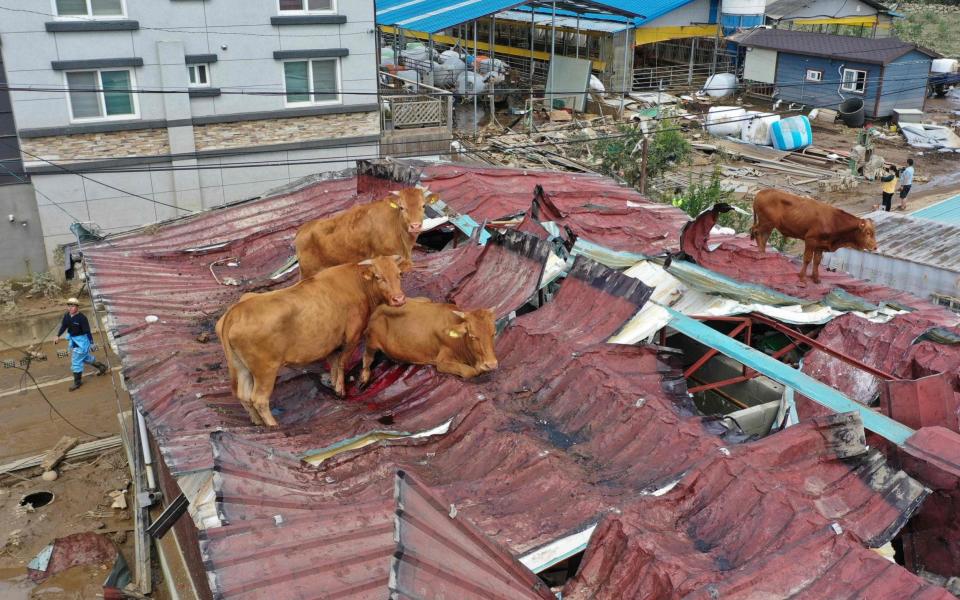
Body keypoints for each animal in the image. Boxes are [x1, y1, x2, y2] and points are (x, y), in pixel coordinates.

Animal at [216, 254, 406, 426]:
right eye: (379, 277)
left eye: (398, 274)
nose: (399, 299)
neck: (358, 284)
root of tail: (236, 310)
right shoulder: (352, 337)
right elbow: (343, 363)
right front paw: (341, 390)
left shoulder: (331, 344)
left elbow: (334, 364)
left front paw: (333, 385)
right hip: (265, 370)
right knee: (259, 399)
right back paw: (273, 426)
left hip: (242, 367)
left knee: (243, 396)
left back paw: (257, 422)